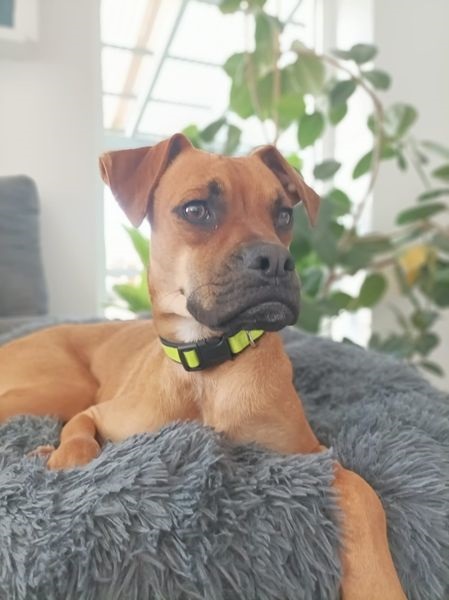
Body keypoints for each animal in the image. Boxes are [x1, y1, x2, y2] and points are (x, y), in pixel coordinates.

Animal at [0, 134, 406, 599]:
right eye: (196, 210)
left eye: (283, 215)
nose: (276, 261)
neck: (208, 364)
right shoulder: (98, 412)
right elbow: (80, 435)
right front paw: (63, 459)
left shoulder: (309, 455)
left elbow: (362, 491)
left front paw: (378, 582)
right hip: (62, 388)